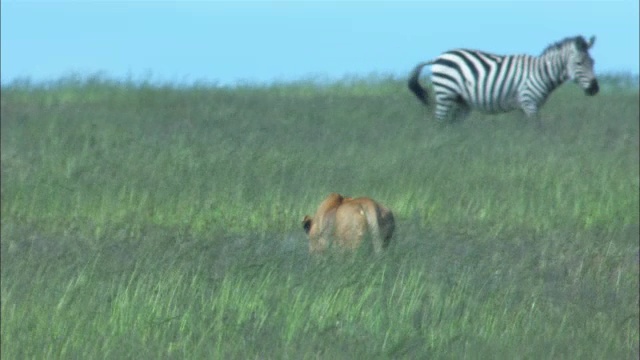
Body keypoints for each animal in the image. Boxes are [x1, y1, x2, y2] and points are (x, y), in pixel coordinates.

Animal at [410, 35, 600, 124]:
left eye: (593, 62)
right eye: (579, 63)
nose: (595, 89)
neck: (542, 73)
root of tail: (437, 58)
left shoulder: (524, 106)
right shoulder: (529, 102)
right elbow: (538, 130)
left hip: (461, 101)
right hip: (445, 93)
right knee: (440, 123)